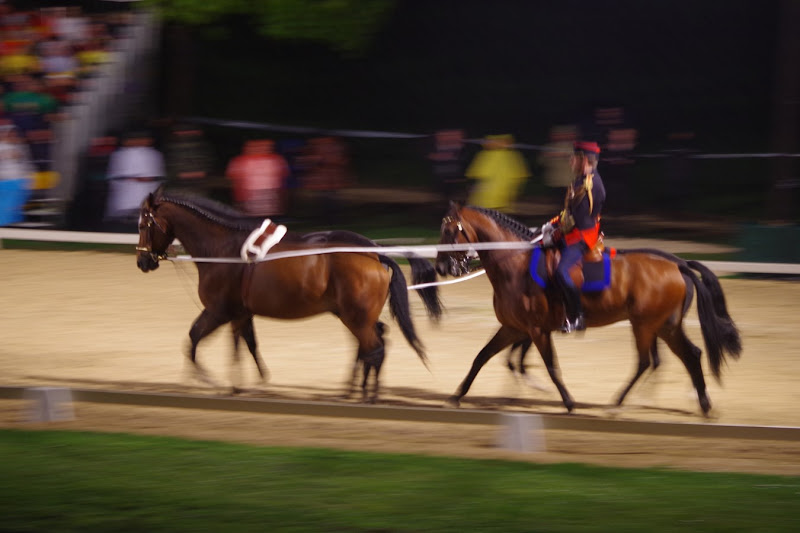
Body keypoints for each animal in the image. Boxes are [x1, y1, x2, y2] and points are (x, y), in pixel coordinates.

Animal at [134, 189, 440, 402]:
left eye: (142, 225)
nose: (143, 261)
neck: (222, 249)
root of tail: (375, 254)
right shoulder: (240, 313)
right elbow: (245, 345)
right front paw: (248, 383)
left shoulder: (219, 311)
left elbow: (194, 338)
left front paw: (208, 380)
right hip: (354, 315)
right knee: (372, 344)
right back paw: (354, 390)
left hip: (355, 316)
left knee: (374, 349)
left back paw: (368, 395)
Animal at [434, 202, 740, 414]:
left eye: (449, 231)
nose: (441, 267)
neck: (516, 265)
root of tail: (678, 265)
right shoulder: (513, 328)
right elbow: (482, 357)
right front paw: (457, 396)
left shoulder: (536, 330)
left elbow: (550, 367)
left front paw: (568, 402)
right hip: (665, 326)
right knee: (690, 355)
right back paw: (703, 404)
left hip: (645, 325)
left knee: (646, 361)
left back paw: (618, 403)